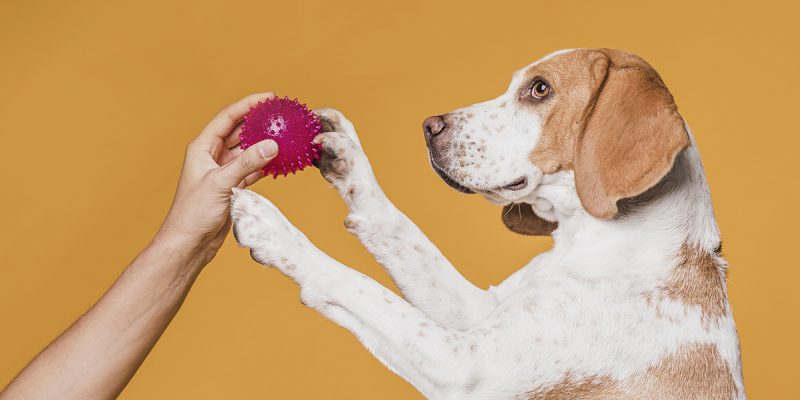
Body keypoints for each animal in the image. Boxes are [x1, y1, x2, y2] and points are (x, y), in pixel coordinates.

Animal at [230, 48, 744, 398]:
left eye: (540, 89)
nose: (428, 127)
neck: (597, 240)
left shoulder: (467, 367)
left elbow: (355, 284)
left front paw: (273, 230)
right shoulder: (476, 309)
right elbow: (396, 229)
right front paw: (347, 155)